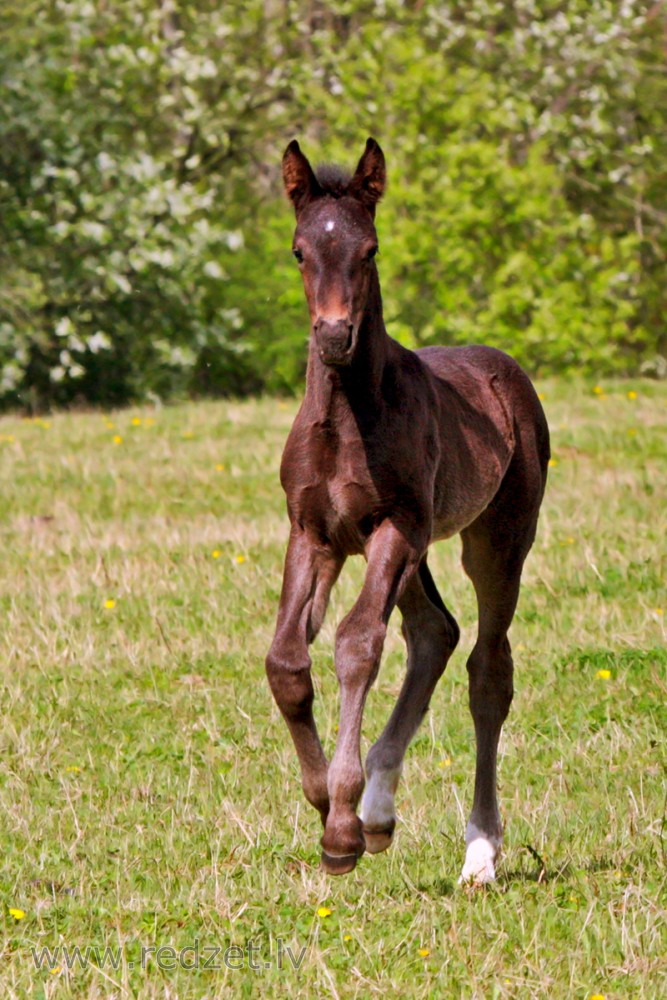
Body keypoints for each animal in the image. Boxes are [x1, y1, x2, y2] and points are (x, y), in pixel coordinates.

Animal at [264, 137, 552, 880]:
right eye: (299, 251)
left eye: (368, 250)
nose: (334, 336)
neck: (346, 420)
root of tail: (506, 372)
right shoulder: (313, 532)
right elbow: (287, 661)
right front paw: (325, 802)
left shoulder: (391, 527)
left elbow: (355, 644)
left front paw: (339, 828)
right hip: (414, 547)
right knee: (435, 633)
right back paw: (378, 810)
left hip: (493, 539)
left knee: (487, 670)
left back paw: (478, 850)